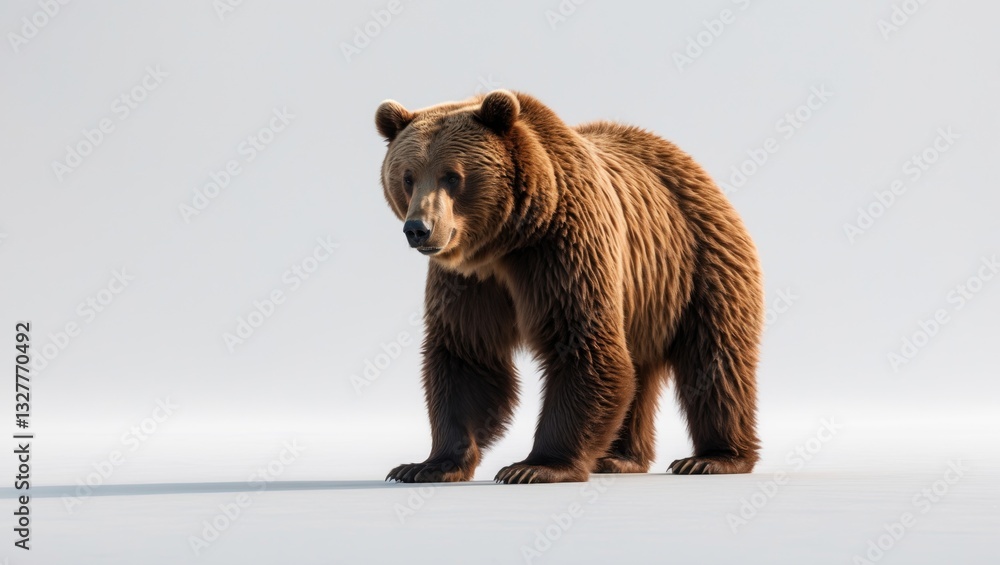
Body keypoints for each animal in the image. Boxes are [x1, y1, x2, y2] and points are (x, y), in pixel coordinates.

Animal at [375, 90, 763, 484]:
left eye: (452, 176)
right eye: (407, 177)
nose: (418, 228)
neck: (506, 242)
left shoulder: (563, 249)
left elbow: (582, 345)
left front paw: (535, 466)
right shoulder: (468, 281)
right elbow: (467, 356)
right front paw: (425, 465)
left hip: (699, 265)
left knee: (714, 360)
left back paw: (712, 458)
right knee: (639, 368)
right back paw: (619, 458)